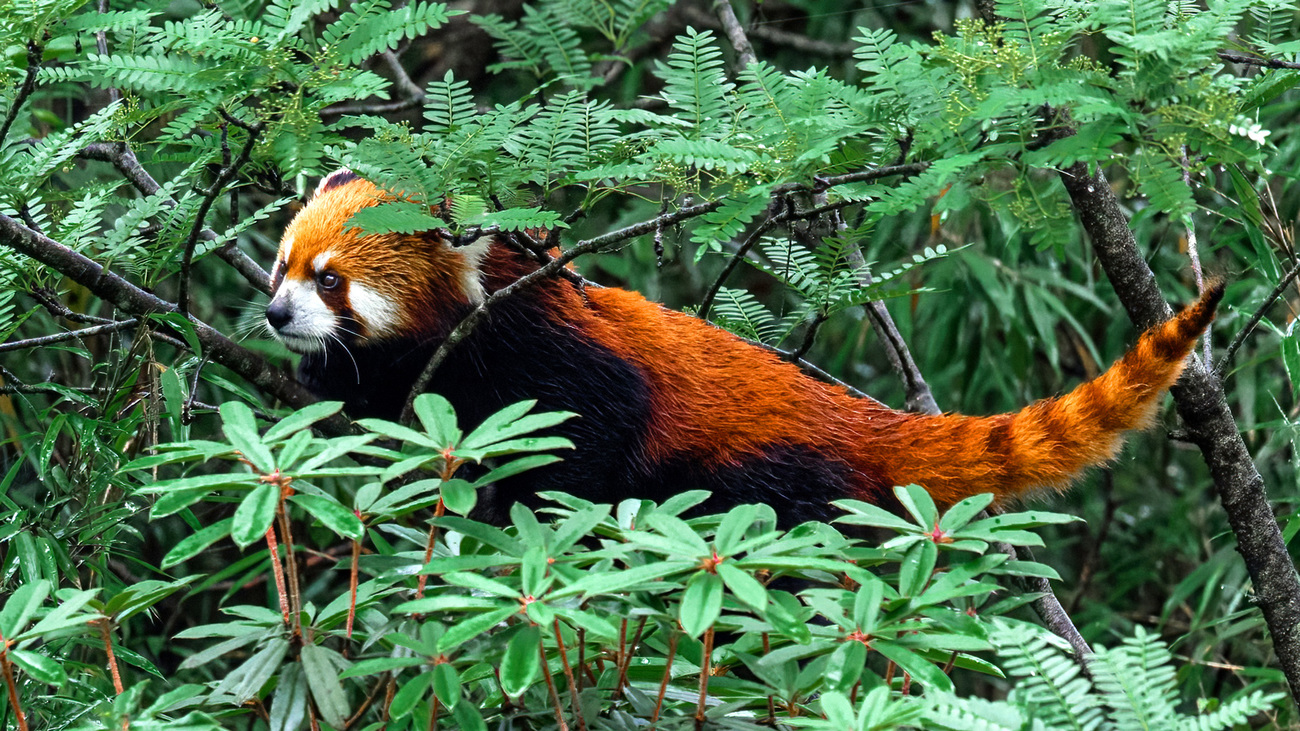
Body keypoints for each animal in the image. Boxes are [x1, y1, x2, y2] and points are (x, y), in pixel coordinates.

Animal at [269, 169, 1222, 522]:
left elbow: (593, 431)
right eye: (283, 265)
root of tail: (861, 425)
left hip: (770, 466)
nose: (278, 314)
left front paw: (532, 510)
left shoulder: (549, 346)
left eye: (332, 280)